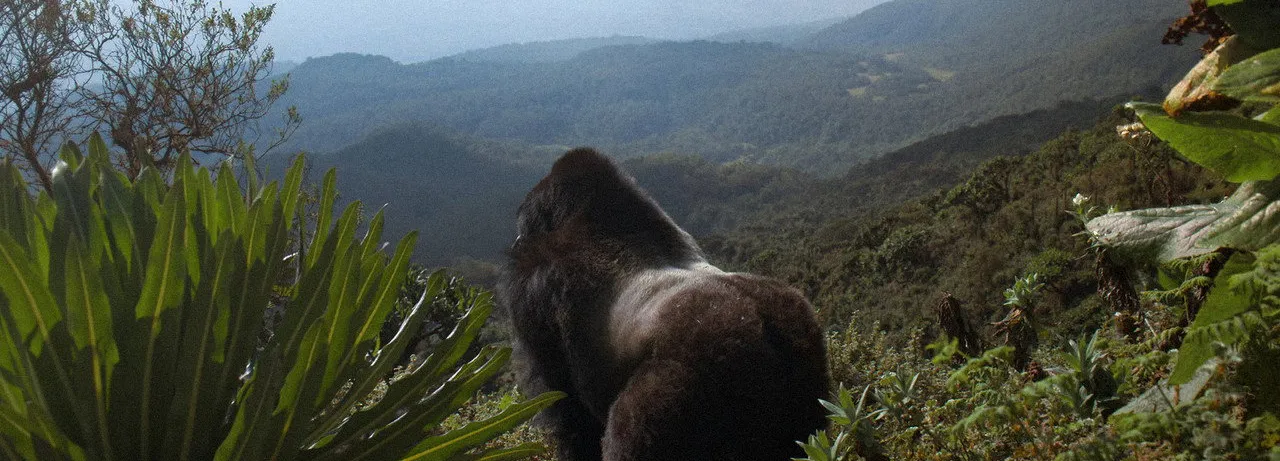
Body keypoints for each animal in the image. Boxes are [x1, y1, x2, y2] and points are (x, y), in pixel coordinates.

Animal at [501, 147, 830, 461]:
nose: (516, 241)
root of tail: (765, 322)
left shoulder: (534, 284)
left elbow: (568, 412)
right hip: (805, 354)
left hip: (690, 369)